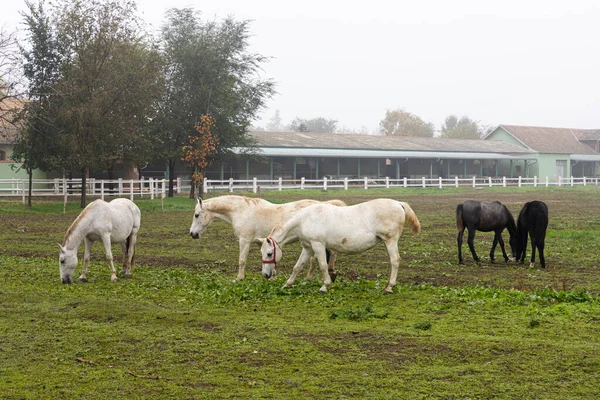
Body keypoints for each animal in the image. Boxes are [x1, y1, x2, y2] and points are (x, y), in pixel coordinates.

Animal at [188, 195, 346, 282]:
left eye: (196, 215)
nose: (192, 234)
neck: (241, 211)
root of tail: (326, 204)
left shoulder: (244, 241)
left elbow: (242, 260)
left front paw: (239, 278)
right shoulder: (262, 242)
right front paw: (271, 275)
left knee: (318, 258)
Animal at [260, 199, 420, 294]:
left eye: (269, 253)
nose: (266, 275)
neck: (304, 219)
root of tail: (398, 203)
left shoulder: (318, 245)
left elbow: (323, 265)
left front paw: (325, 286)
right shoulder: (308, 247)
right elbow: (297, 266)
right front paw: (287, 284)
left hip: (390, 241)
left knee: (395, 261)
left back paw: (389, 287)